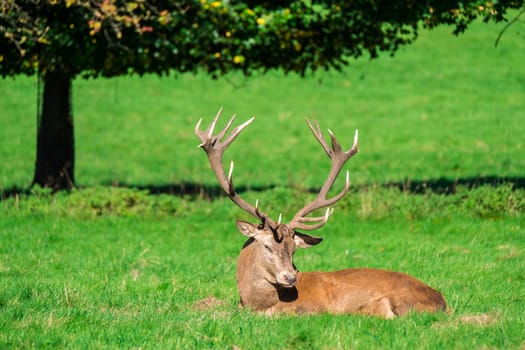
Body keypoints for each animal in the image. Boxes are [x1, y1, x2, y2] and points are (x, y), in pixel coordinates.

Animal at [194, 108, 448, 318]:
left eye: (294, 248)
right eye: (267, 246)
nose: (290, 277)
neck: (256, 303)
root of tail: (443, 302)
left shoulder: (311, 308)